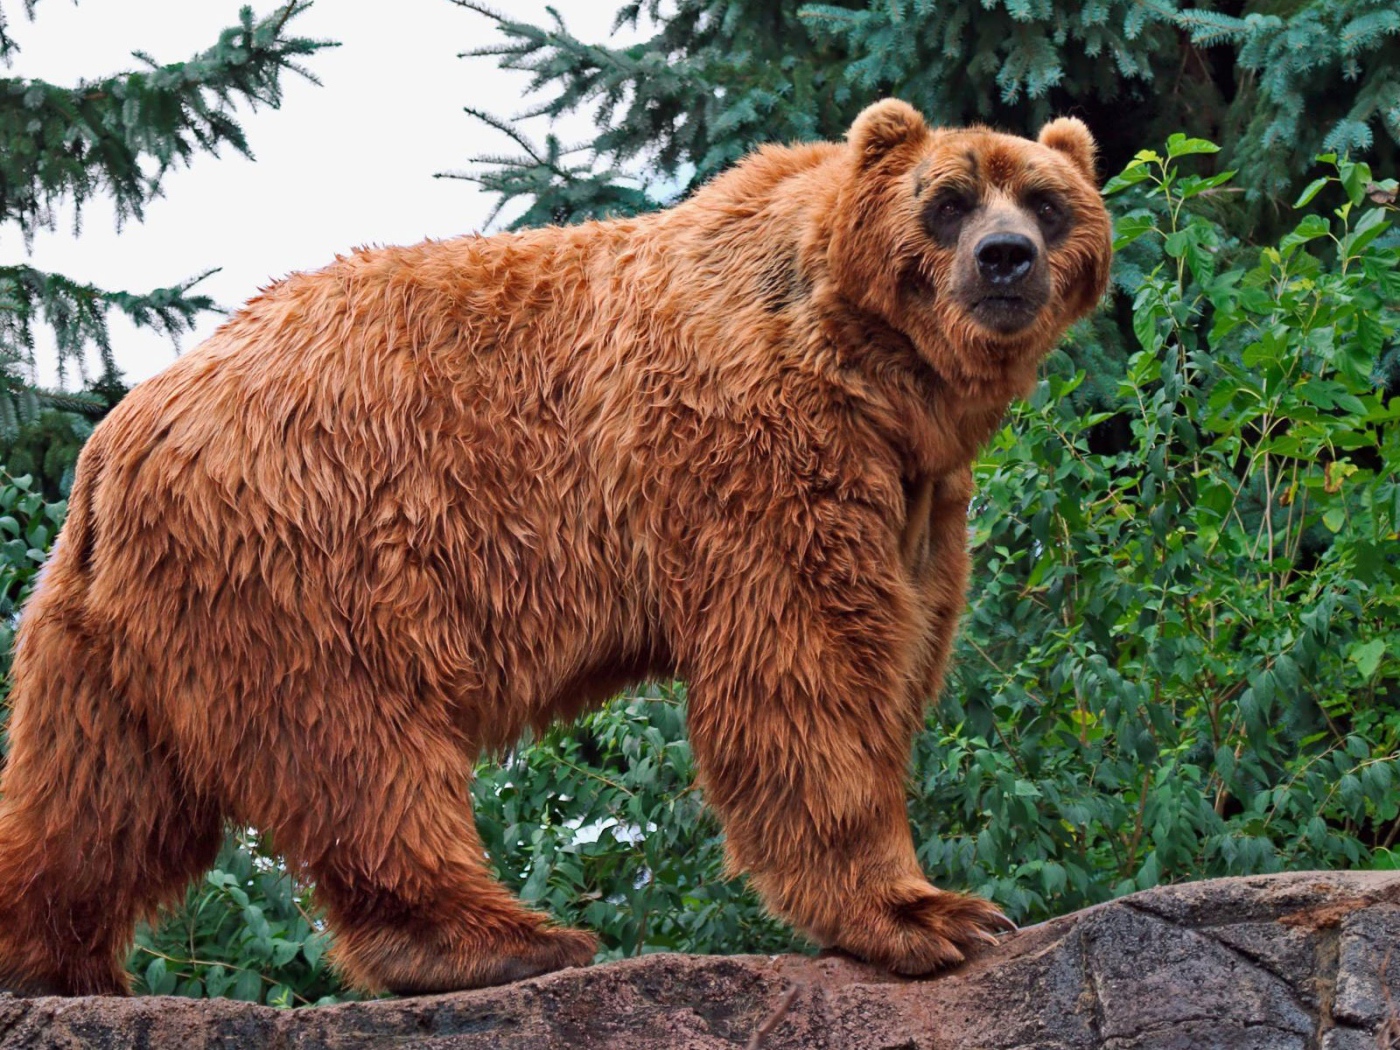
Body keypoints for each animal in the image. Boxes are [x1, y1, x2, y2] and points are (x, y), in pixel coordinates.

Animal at [0, 99, 1112, 997]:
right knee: (357, 745)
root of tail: (118, 439)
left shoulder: (917, 490)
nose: (1005, 258)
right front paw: (931, 913)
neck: (875, 371)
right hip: (305, 546)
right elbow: (807, 668)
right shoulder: (756, 445)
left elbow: (901, 642)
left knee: (102, 796)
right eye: (948, 201)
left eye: (1046, 200)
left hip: (120, 626)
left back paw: (53, 961)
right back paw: (504, 941)